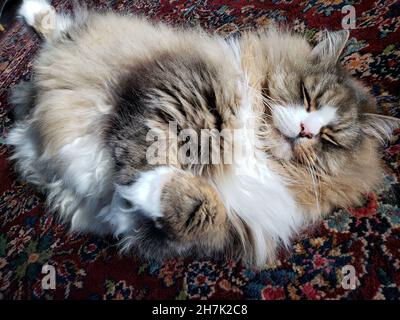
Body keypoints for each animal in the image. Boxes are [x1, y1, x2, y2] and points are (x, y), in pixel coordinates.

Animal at [7, 0, 400, 268]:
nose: (306, 130)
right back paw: (29, 11)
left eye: (329, 138)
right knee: (55, 27)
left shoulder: (219, 226)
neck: (255, 145)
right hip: (80, 43)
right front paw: (143, 182)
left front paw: (146, 192)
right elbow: (148, 150)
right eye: (308, 97)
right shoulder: (176, 95)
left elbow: (205, 213)